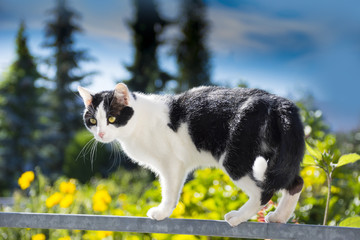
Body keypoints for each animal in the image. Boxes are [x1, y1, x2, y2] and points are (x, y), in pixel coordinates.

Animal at [78, 83, 304, 226]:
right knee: (295, 182)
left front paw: (162, 212)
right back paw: (279, 217)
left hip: (235, 158)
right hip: (279, 157)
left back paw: (238, 217)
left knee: (263, 191)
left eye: (112, 118)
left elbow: (170, 191)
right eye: (92, 121)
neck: (137, 125)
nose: (101, 133)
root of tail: (277, 101)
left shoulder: (171, 163)